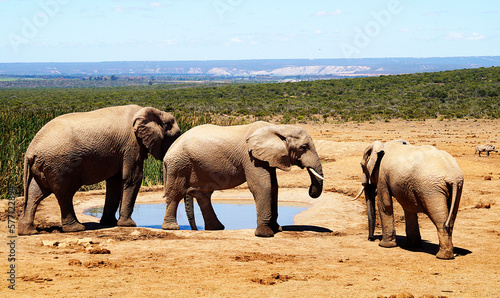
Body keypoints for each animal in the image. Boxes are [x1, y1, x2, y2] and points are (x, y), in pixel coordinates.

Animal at [21, 105, 184, 235]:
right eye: (176, 136)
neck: (151, 111)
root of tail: (31, 150)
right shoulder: (132, 145)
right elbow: (132, 178)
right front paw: (128, 225)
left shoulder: (121, 150)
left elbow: (115, 182)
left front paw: (109, 223)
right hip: (59, 164)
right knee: (65, 193)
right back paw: (76, 229)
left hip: (44, 165)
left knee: (36, 193)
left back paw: (28, 232)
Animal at [161, 121, 324, 237]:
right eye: (303, 147)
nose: (310, 191)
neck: (276, 128)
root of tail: (169, 149)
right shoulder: (250, 157)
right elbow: (262, 186)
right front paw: (265, 234)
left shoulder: (266, 157)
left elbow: (273, 187)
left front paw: (277, 229)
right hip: (179, 164)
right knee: (176, 193)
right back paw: (171, 227)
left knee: (203, 196)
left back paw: (216, 228)